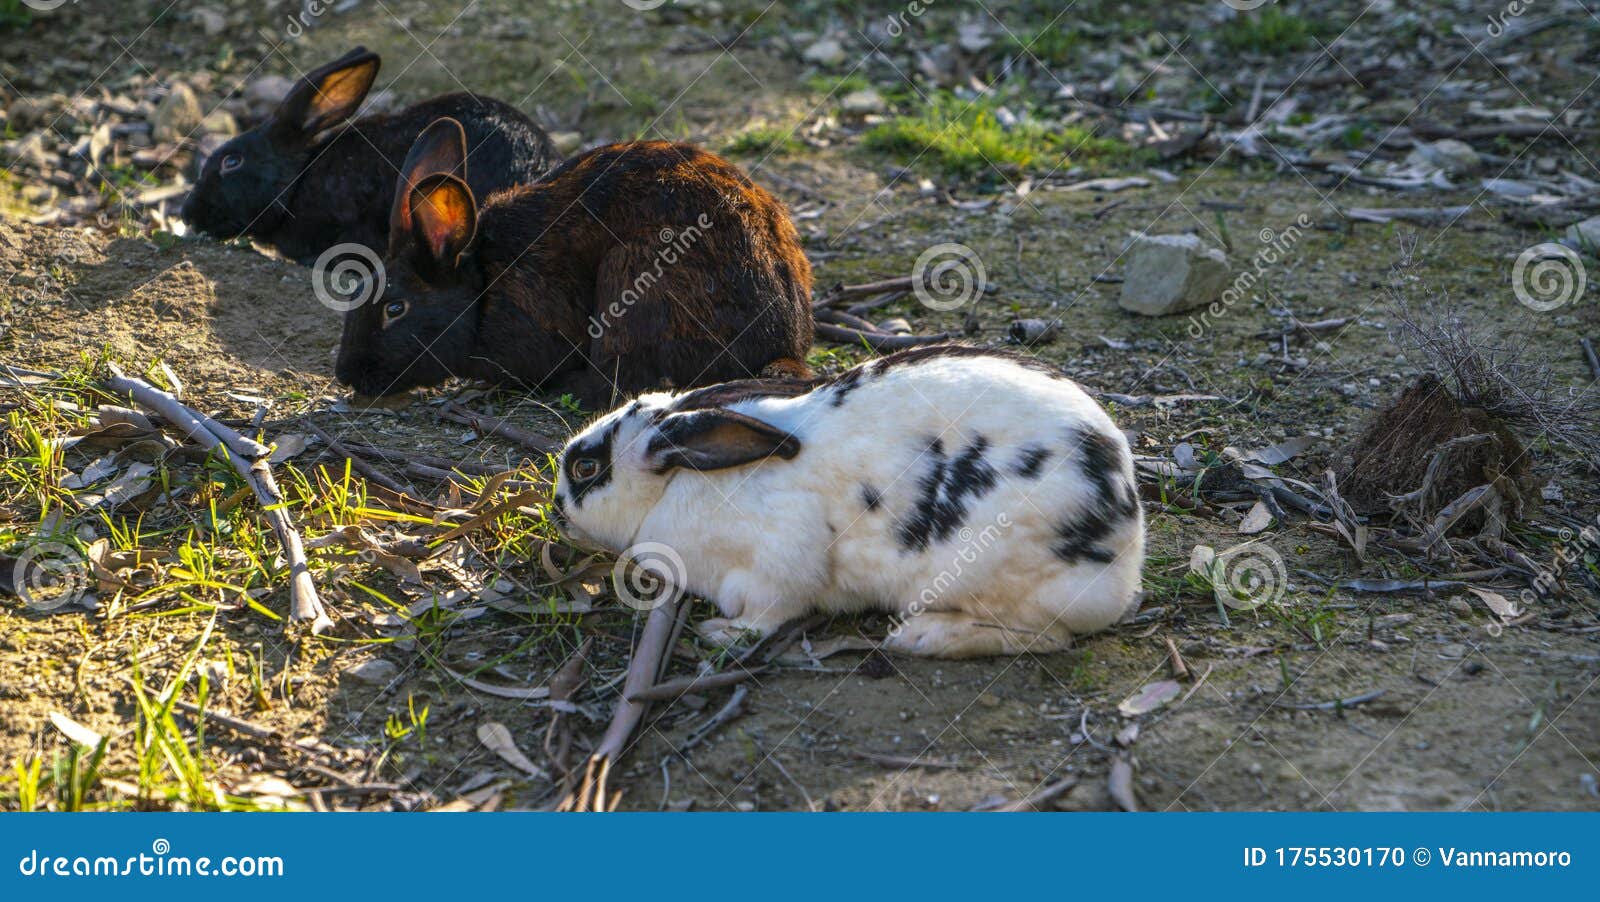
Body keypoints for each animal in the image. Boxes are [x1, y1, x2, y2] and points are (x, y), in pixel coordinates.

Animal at [550, 344, 1145, 658]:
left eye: (585, 469)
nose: (555, 509)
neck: (674, 483)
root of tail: (1127, 549)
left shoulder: (775, 567)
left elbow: (768, 616)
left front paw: (719, 633)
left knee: (1048, 636)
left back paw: (922, 636)